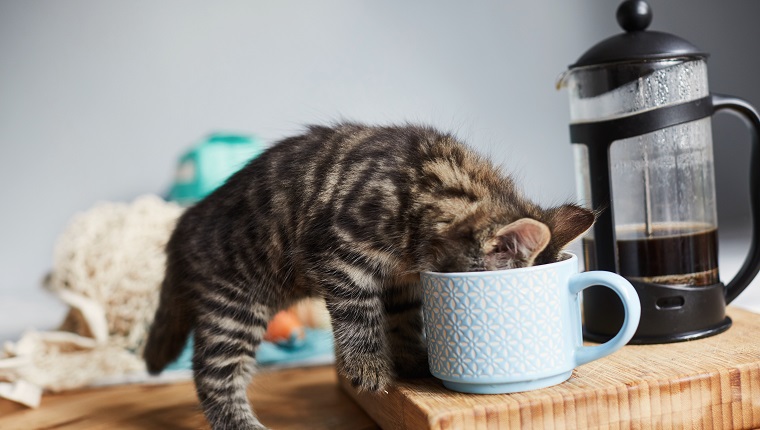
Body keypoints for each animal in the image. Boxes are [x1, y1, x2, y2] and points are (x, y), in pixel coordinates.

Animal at [142, 122, 592, 430]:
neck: (432, 187)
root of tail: (183, 225)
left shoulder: (404, 280)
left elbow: (402, 320)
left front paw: (410, 357)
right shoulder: (340, 254)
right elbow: (360, 315)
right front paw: (368, 365)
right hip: (235, 306)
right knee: (211, 374)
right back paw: (242, 424)